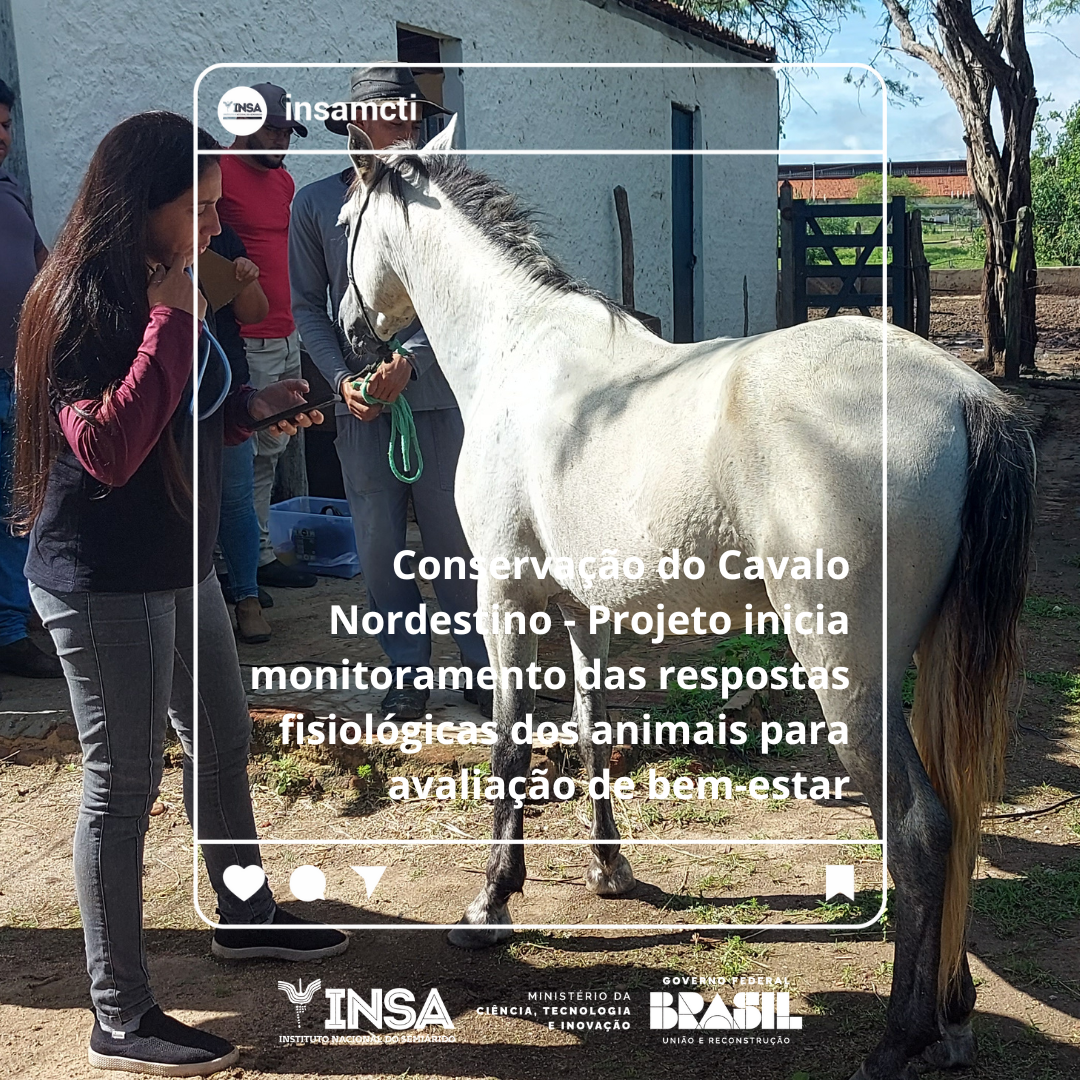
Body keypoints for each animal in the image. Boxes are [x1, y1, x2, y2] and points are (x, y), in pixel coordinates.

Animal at [336, 117, 1035, 1080]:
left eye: (342, 222)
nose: (347, 336)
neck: (520, 347)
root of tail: (966, 396)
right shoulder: (578, 608)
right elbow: (589, 732)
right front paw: (610, 872)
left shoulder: (505, 595)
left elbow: (513, 746)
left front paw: (489, 907)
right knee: (959, 821)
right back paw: (957, 1015)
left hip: (848, 672)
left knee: (923, 830)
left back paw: (900, 1040)